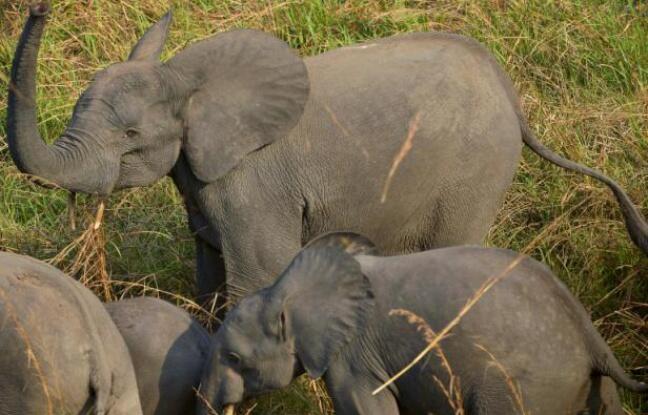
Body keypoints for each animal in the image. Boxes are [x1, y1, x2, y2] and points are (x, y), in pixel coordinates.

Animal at [7, 3, 644, 306]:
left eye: (130, 135)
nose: (39, 7)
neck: (187, 79)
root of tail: (510, 93)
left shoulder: (252, 184)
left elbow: (256, 275)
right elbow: (210, 275)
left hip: (477, 168)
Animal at [199, 234, 648, 415]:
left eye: (234, 358)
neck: (286, 286)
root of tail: (592, 338)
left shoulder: (354, 360)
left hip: (524, 386)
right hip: (590, 386)